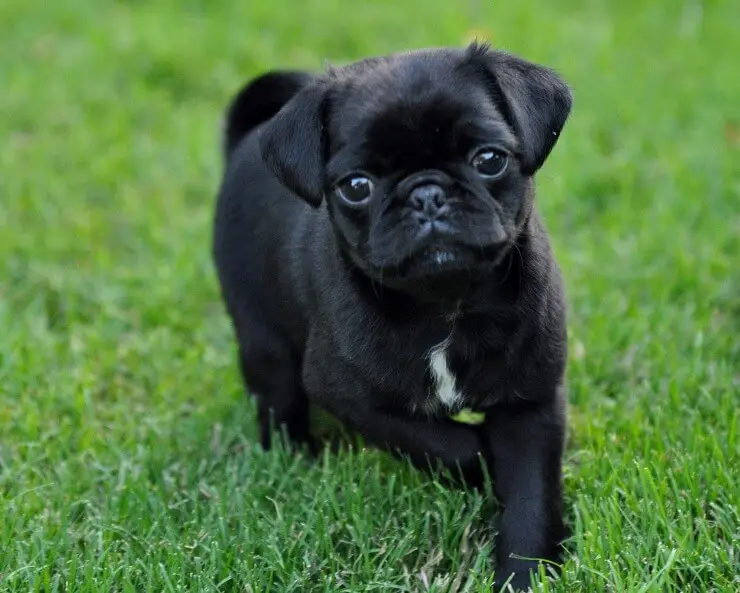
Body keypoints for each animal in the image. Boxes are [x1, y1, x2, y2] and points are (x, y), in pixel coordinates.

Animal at [212, 44, 572, 588]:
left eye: (489, 159)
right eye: (356, 186)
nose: (426, 194)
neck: (447, 304)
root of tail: (243, 144)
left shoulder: (530, 402)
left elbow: (531, 500)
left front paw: (524, 577)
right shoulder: (355, 398)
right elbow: (442, 443)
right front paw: (482, 461)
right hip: (265, 343)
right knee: (278, 401)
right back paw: (296, 460)